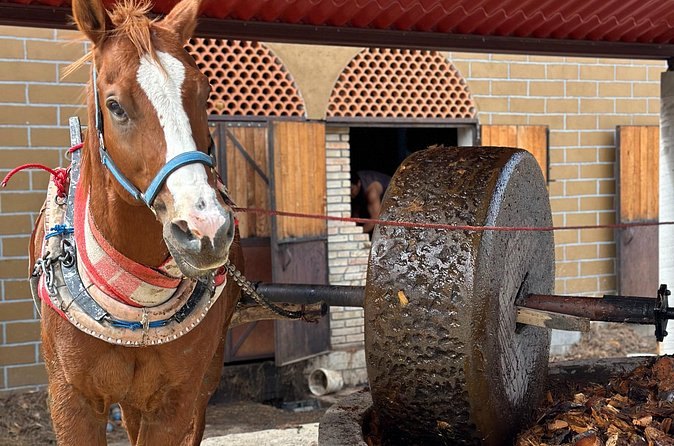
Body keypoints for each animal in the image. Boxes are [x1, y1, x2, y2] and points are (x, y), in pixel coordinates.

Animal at [28, 0, 243, 444]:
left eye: (204, 93)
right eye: (115, 105)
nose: (206, 231)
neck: (136, 307)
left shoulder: (176, 400)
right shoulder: (70, 401)